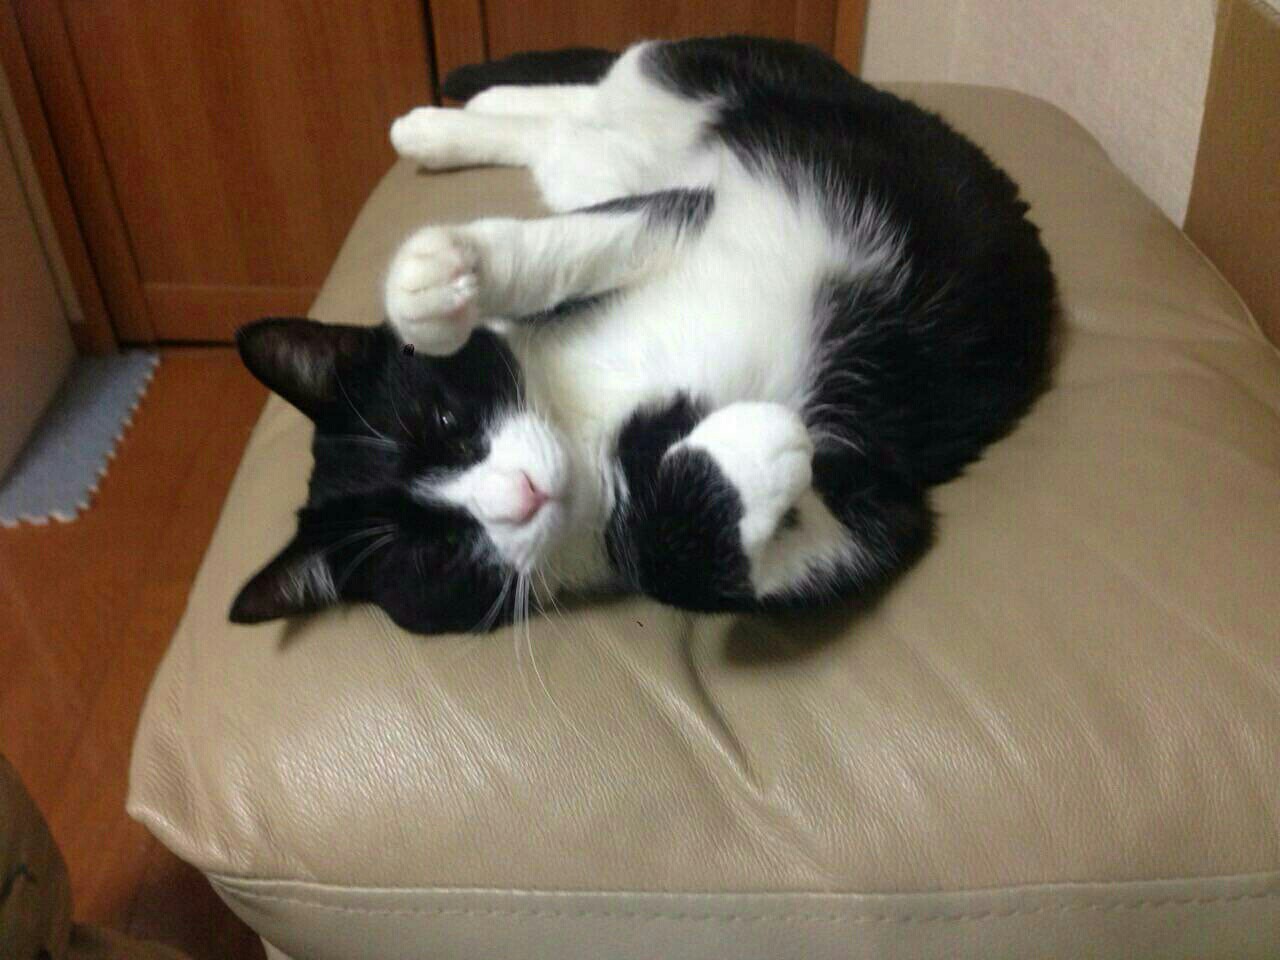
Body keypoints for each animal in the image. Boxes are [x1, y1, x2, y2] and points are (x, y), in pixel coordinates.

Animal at [230, 36, 1056, 635]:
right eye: (429, 552)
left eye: (442, 418)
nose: (522, 495)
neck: (588, 425)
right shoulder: (877, 499)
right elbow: (674, 562)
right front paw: (760, 447)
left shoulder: (687, 212)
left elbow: (574, 245)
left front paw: (437, 279)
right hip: (590, 165)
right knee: (567, 134)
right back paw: (448, 125)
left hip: (696, 92)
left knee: (614, 82)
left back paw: (451, 116)